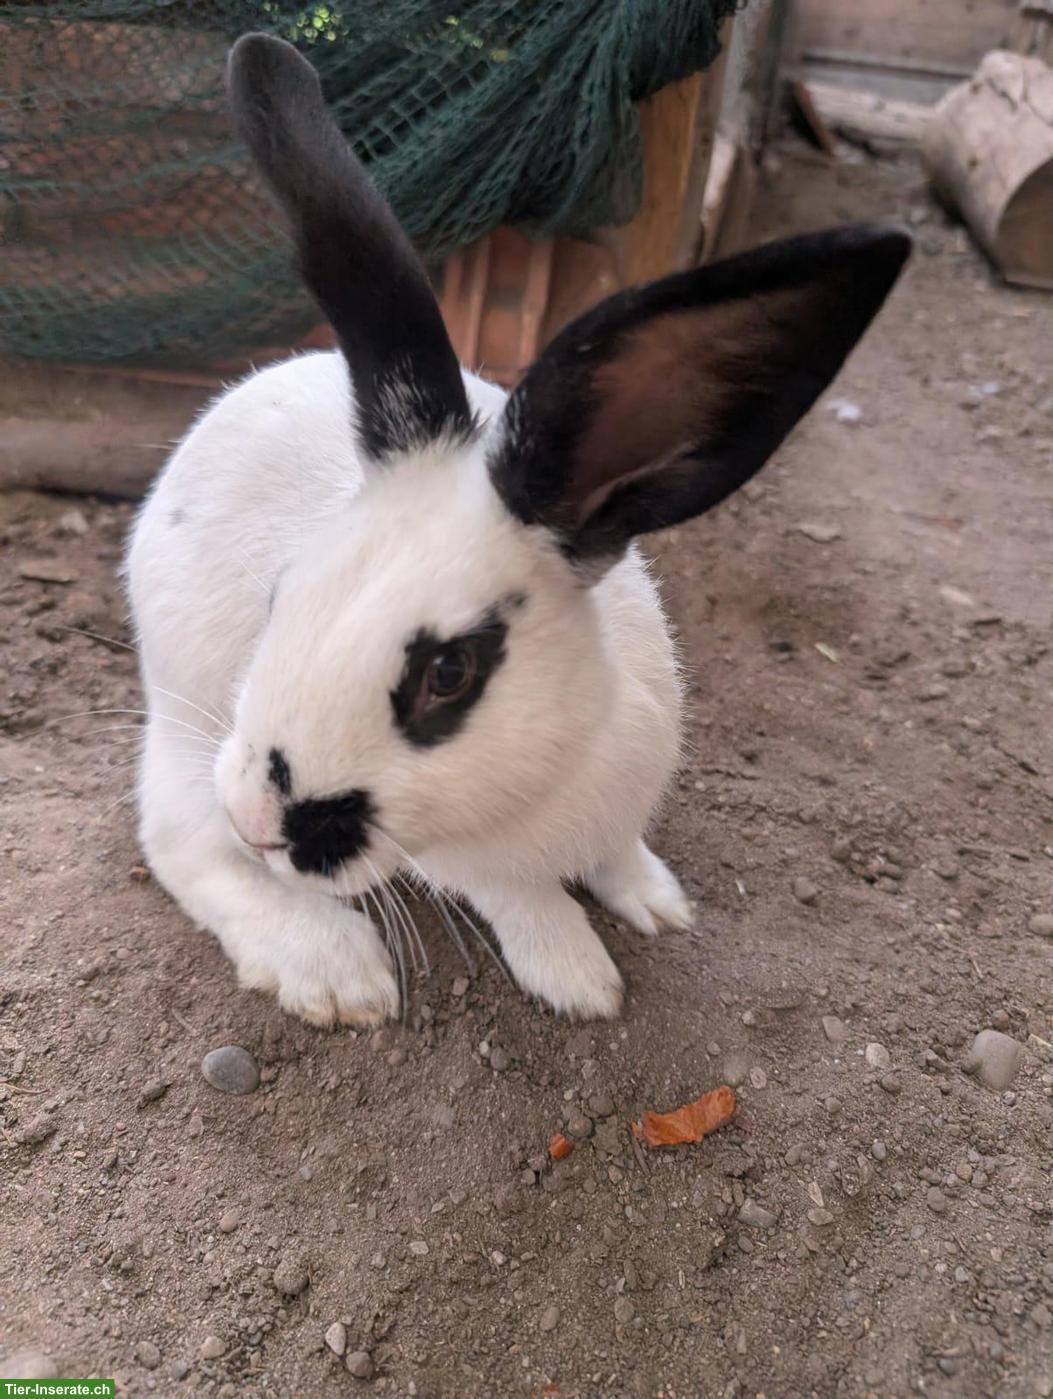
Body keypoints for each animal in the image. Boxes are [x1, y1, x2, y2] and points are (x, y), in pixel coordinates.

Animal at [125, 33, 910, 1028]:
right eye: (281, 596)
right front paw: (579, 977)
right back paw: (336, 970)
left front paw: (657, 902)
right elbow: (519, 896)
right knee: (178, 837)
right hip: (191, 715)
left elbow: (619, 856)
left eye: (448, 673)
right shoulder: (462, 860)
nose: (261, 823)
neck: (557, 774)